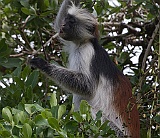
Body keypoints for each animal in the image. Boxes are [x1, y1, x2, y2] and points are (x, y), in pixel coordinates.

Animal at [30, 0, 140, 137]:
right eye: (66, 19)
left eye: (71, 22)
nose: (63, 25)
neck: (82, 43)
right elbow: (56, 23)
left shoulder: (88, 52)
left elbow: (87, 86)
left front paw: (43, 65)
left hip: (111, 131)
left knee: (95, 113)